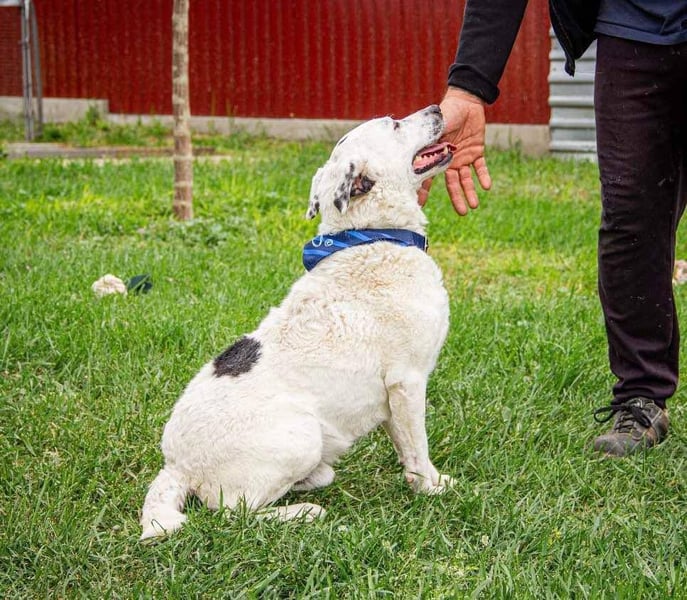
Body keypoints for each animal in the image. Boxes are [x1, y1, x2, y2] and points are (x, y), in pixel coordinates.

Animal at [140, 105, 456, 540]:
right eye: (393, 123)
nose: (437, 108)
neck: (372, 235)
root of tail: (177, 467)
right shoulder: (408, 382)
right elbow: (419, 446)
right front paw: (430, 488)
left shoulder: (393, 398)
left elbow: (404, 445)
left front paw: (427, 479)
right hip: (300, 435)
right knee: (234, 513)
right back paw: (304, 512)